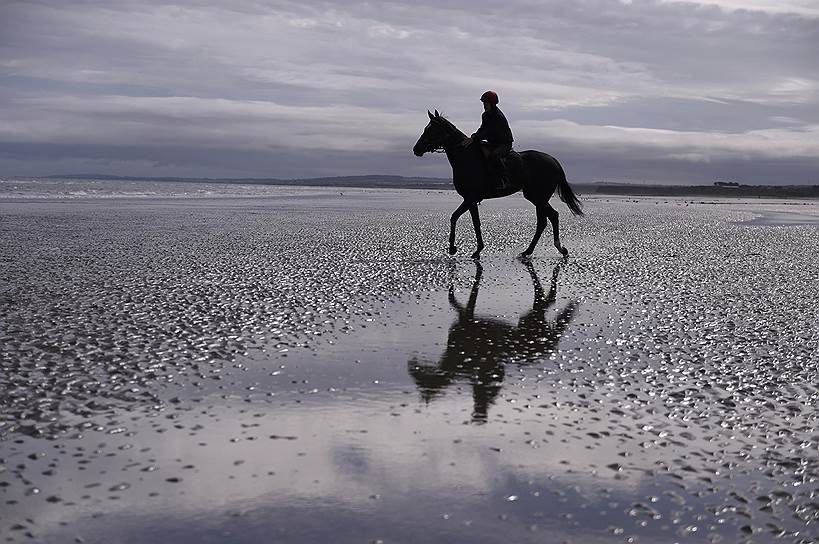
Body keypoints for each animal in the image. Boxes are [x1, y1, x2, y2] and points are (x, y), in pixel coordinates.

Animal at [408, 258, 576, 422]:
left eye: (420, 382)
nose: (411, 365)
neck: (455, 360)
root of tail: (548, 345)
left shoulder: (467, 318)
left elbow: (459, 300)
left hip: (529, 321)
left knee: (545, 299)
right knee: (547, 300)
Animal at [410, 110, 584, 260]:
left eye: (432, 130)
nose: (416, 149)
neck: (466, 157)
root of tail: (554, 161)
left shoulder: (470, 198)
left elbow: (466, 220)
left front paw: (463, 249)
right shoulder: (470, 199)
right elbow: (461, 219)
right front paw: (464, 248)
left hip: (537, 197)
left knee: (552, 216)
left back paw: (559, 249)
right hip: (537, 198)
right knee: (543, 221)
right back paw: (528, 251)